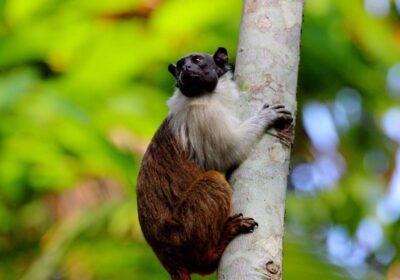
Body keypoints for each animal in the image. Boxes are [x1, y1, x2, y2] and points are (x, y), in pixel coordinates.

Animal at [136, 47, 292, 278]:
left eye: (196, 60)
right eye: (180, 66)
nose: (186, 69)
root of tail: (165, 254)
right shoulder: (203, 114)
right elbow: (230, 152)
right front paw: (266, 117)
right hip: (181, 231)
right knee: (213, 180)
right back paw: (214, 251)